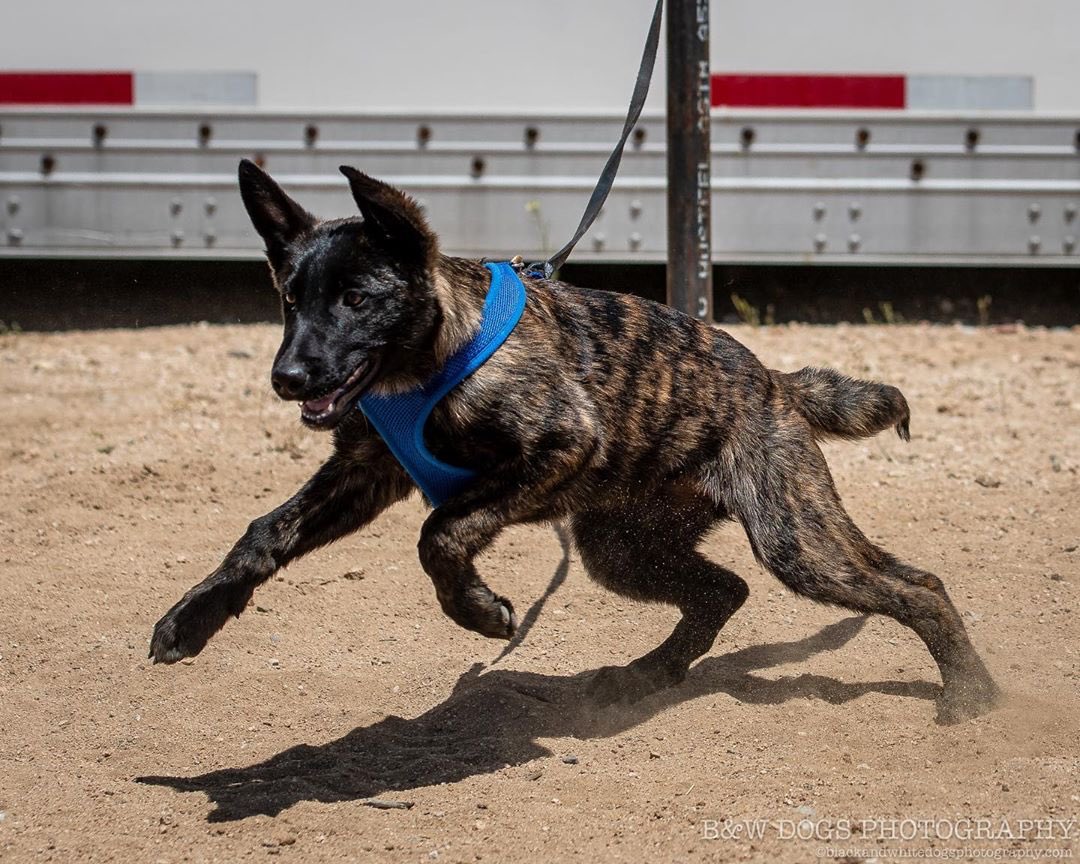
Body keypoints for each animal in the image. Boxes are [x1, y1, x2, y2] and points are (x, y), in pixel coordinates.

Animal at [147, 159, 997, 721]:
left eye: (356, 298)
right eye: (291, 299)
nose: (287, 377)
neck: (427, 361)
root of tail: (777, 385)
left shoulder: (558, 450)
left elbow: (440, 531)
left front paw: (479, 610)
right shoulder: (363, 471)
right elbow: (264, 534)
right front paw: (194, 619)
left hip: (794, 538)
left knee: (914, 587)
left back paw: (971, 695)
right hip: (624, 544)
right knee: (730, 590)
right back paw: (647, 673)